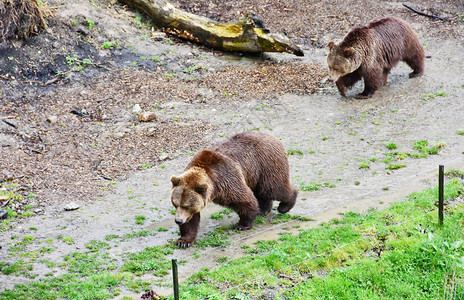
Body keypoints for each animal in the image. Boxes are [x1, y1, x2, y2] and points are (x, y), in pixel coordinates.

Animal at [170, 132, 298, 247]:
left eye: (186, 206)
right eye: (176, 204)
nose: (178, 220)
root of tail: (272, 136)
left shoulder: (225, 178)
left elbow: (243, 199)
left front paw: (242, 224)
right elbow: (191, 220)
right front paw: (184, 241)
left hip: (266, 163)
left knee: (273, 188)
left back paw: (285, 205)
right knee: (261, 192)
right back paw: (263, 210)